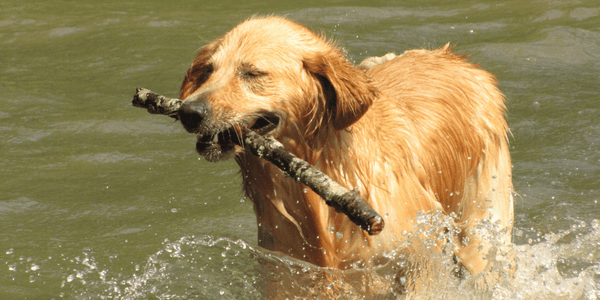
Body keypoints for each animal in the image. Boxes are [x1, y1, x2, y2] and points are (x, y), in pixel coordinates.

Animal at [176, 15, 512, 278]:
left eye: (252, 73)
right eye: (208, 70)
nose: (189, 112)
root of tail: (460, 60)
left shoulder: (417, 255)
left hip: (479, 226)